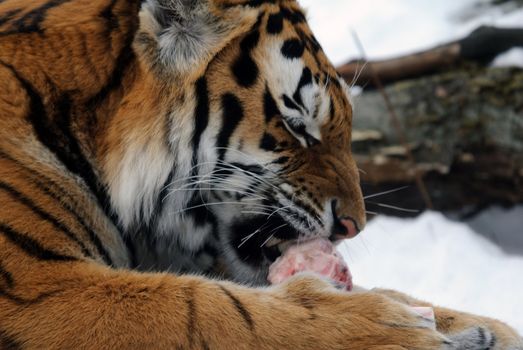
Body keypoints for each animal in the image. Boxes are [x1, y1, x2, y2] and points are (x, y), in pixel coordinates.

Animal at [1, 0, 523, 348]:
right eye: (298, 126)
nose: (354, 226)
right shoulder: (39, 288)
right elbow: (210, 310)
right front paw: (391, 329)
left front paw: (484, 328)